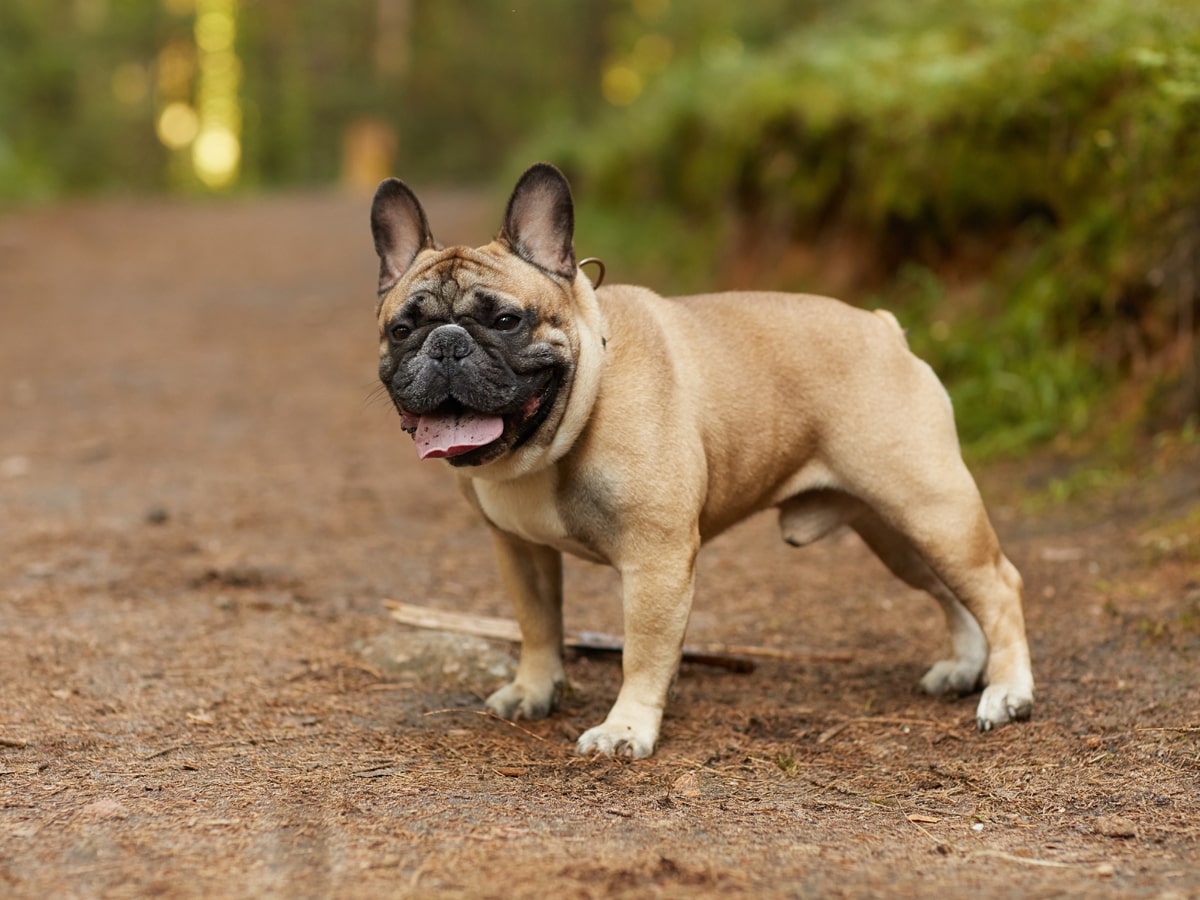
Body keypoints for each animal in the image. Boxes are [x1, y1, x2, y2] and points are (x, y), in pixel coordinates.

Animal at [369, 164, 1036, 763]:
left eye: (506, 320)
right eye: (401, 330)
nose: (446, 343)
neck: (562, 426)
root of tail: (884, 329)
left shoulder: (656, 560)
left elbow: (643, 652)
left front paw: (626, 729)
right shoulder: (520, 550)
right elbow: (538, 626)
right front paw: (533, 691)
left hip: (932, 507)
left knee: (998, 586)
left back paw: (1008, 693)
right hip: (896, 532)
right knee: (953, 592)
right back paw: (964, 669)